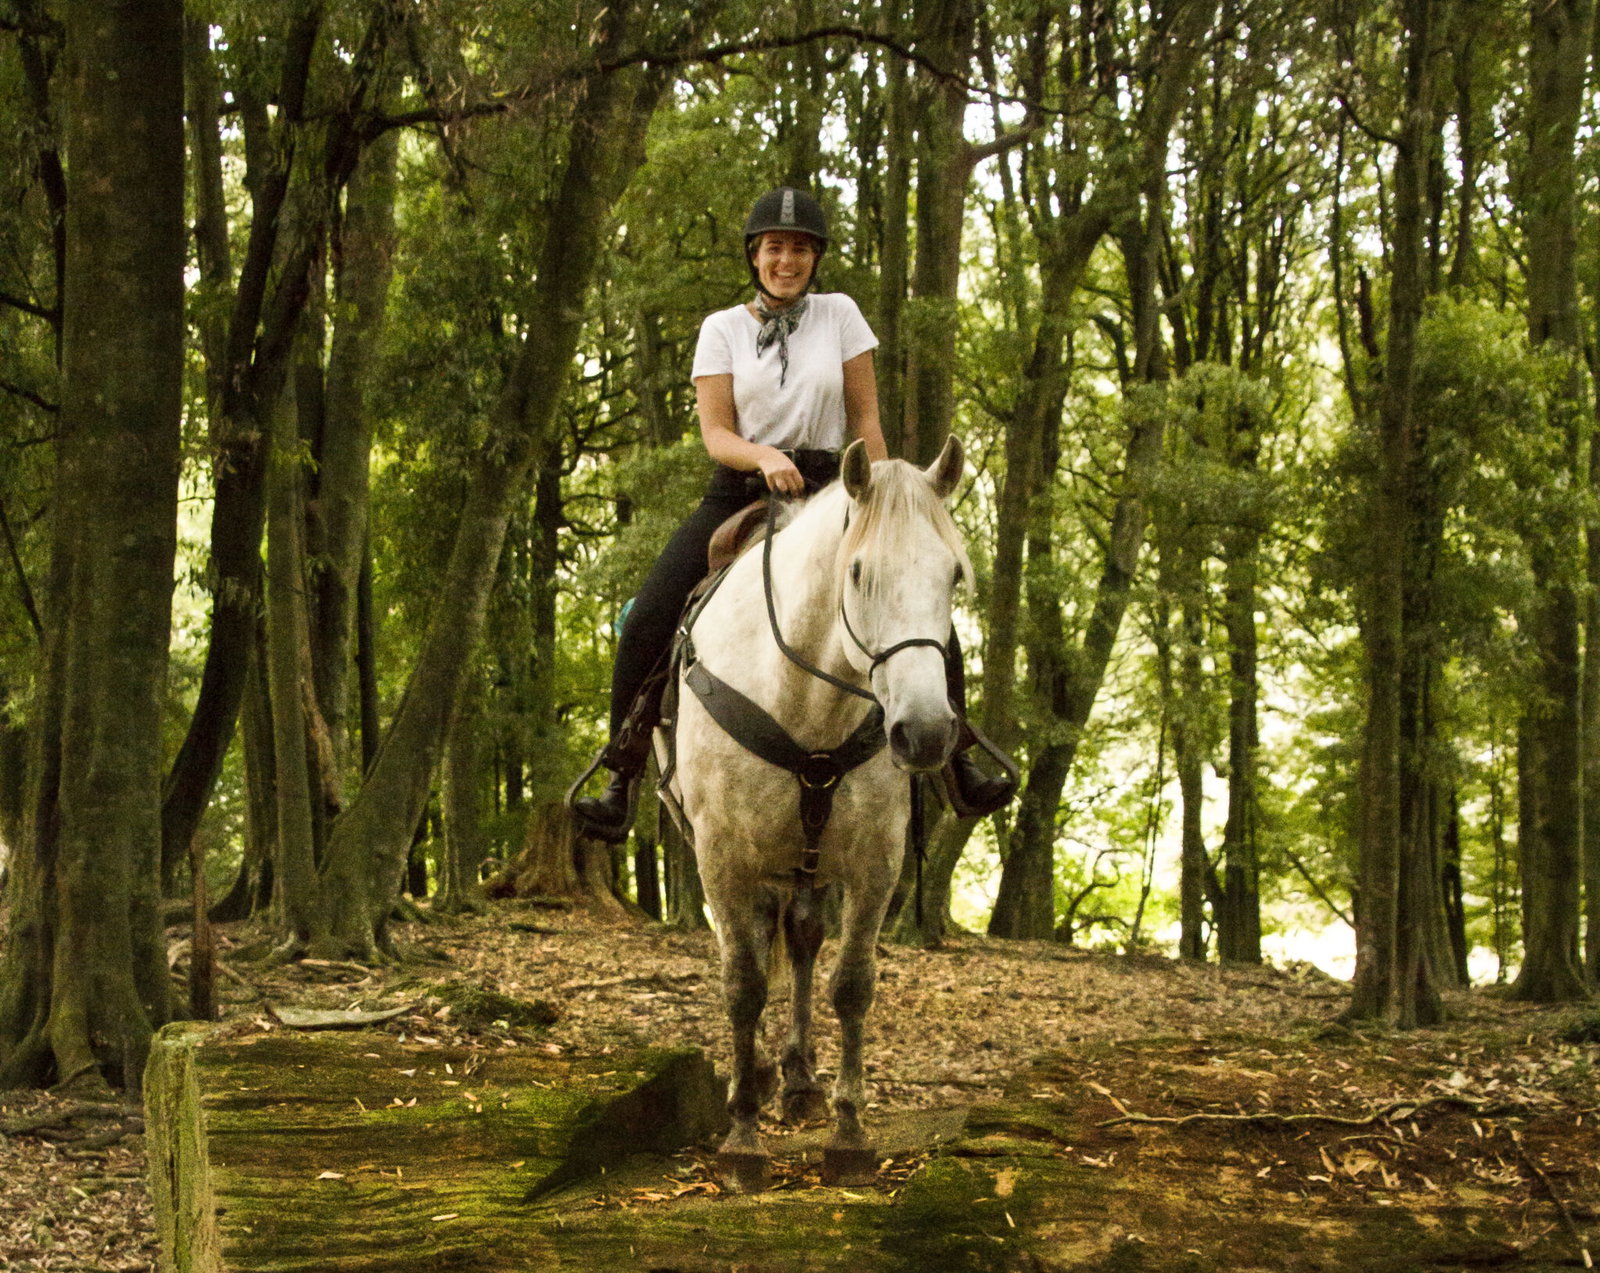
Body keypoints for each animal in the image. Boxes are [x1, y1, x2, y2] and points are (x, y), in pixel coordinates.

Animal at [661, 435, 970, 1192]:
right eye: (857, 571)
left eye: (953, 575)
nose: (925, 732)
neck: (805, 698)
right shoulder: (722, 858)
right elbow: (743, 986)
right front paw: (743, 1136)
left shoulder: (877, 861)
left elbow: (851, 985)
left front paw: (849, 1130)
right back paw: (762, 1080)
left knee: (800, 941)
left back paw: (798, 1079)